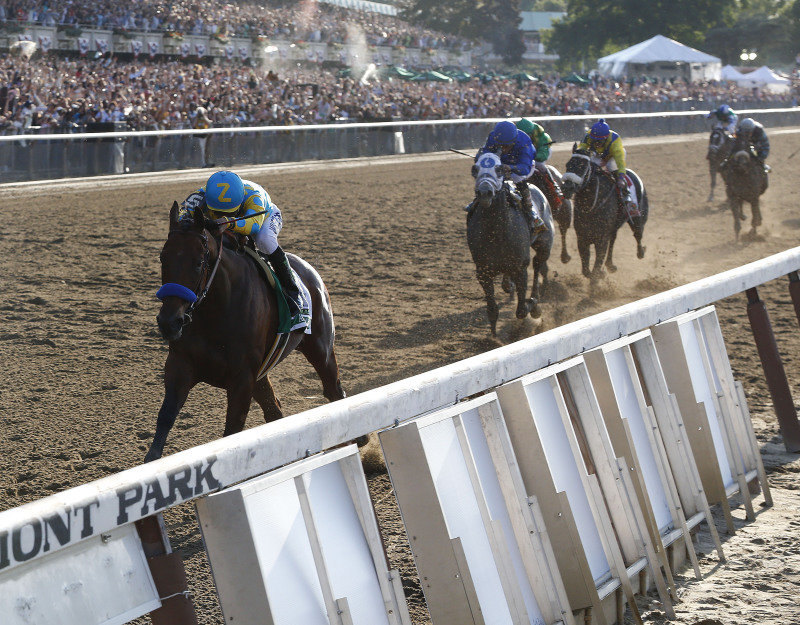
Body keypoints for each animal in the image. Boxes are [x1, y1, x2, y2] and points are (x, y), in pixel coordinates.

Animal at [145, 202, 346, 460]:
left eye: (199, 263)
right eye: (163, 258)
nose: (169, 322)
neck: (216, 312)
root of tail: (311, 271)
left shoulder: (242, 379)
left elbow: (233, 429)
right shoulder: (180, 365)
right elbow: (165, 418)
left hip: (321, 350)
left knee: (334, 391)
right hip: (261, 372)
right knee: (274, 410)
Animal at [466, 152, 552, 336]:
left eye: (499, 169)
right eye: (475, 169)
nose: (485, 192)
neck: (496, 231)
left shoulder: (520, 268)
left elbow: (521, 310)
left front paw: (532, 304)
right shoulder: (483, 271)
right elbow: (492, 310)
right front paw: (493, 338)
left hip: (544, 244)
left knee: (537, 265)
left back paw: (535, 302)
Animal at [560, 146, 648, 282]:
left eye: (583, 166)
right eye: (568, 164)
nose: (567, 188)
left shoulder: (601, 239)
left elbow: (595, 267)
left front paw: (598, 277)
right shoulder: (582, 238)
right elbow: (586, 270)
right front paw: (600, 273)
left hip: (638, 217)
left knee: (637, 234)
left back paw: (641, 252)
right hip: (614, 227)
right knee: (613, 240)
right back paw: (610, 265)